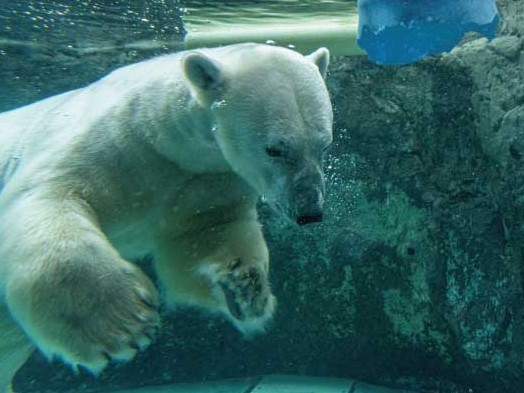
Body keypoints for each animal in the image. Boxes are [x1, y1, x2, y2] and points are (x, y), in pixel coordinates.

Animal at [0, 41, 332, 390]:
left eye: (324, 145)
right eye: (274, 149)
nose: (309, 212)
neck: (162, 137)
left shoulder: (204, 178)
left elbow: (203, 233)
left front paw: (246, 288)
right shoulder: (112, 142)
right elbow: (46, 193)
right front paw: (121, 325)